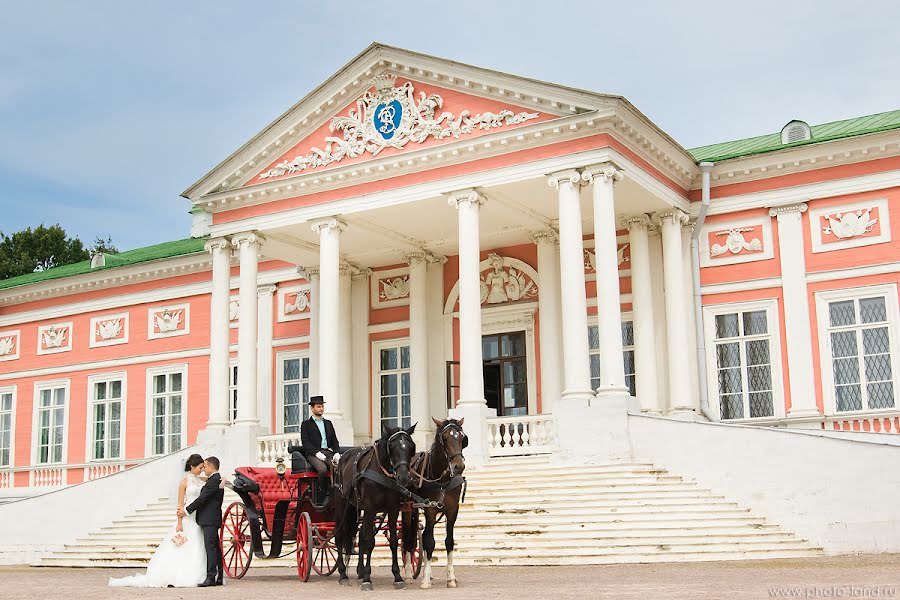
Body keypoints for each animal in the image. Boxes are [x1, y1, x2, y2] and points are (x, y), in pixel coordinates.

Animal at [332, 422, 416, 592]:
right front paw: (367, 579)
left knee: (360, 536)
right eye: (392, 446)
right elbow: (370, 542)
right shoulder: (370, 509)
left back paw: (359, 571)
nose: (403, 477)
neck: (382, 473)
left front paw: (397, 576)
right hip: (342, 506)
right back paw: (343, 574)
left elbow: (393, 542)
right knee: (339, 536)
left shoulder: (393, 510)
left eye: (411, 447)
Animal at [404, 420, 468, 588]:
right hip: (407, 509)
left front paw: (451, 578)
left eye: (462, 438)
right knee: (407, 538)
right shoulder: (430, 509)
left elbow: (449, 542)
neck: (442, 481)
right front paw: (425, 579)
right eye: (444, 438)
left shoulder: (452, 510)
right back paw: (408, 573)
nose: (459, 466)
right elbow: (429, 541)